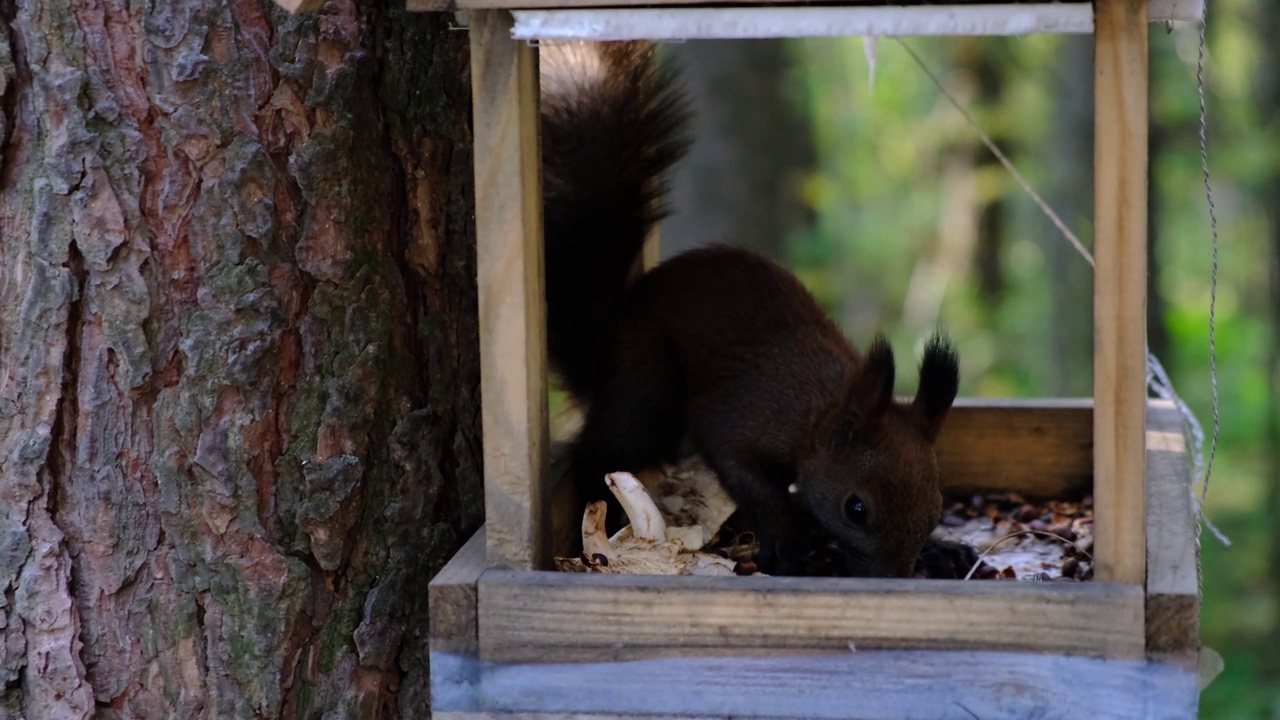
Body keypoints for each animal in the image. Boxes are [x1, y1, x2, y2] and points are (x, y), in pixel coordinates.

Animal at [535, 40, 962, 576]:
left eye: (937, 507)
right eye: (856, 508)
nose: (893, 578)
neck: (816, 414)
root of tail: (606, 336)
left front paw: (944, 548)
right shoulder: (739, 421)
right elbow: (748, 478)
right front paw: (783, 542)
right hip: (644, 383)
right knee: (600, 452)